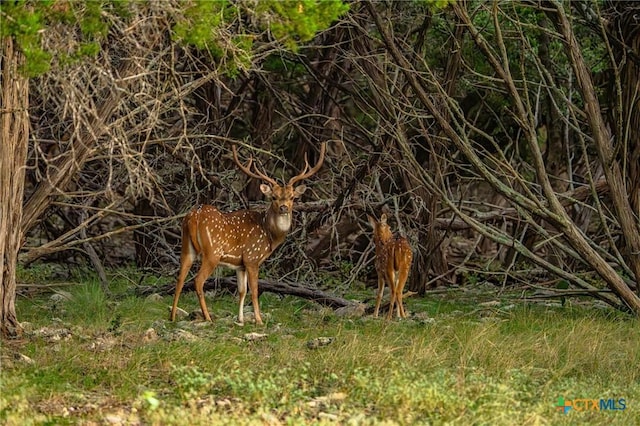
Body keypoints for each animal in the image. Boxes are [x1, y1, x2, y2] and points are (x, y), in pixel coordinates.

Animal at [170, 141, 324, 324]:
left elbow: (242, 290)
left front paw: (241, 319)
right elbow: (255, 290)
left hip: (186, 247)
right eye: (273, 197)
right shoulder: (252, 258)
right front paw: (259, 320)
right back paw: (207, 317)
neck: (270, 236)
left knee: (180, 278)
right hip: (212, 252)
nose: (283, 207)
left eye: (292, 197)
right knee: (198, 280)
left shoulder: (240, 264)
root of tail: (194, 217)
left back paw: (172, 316)